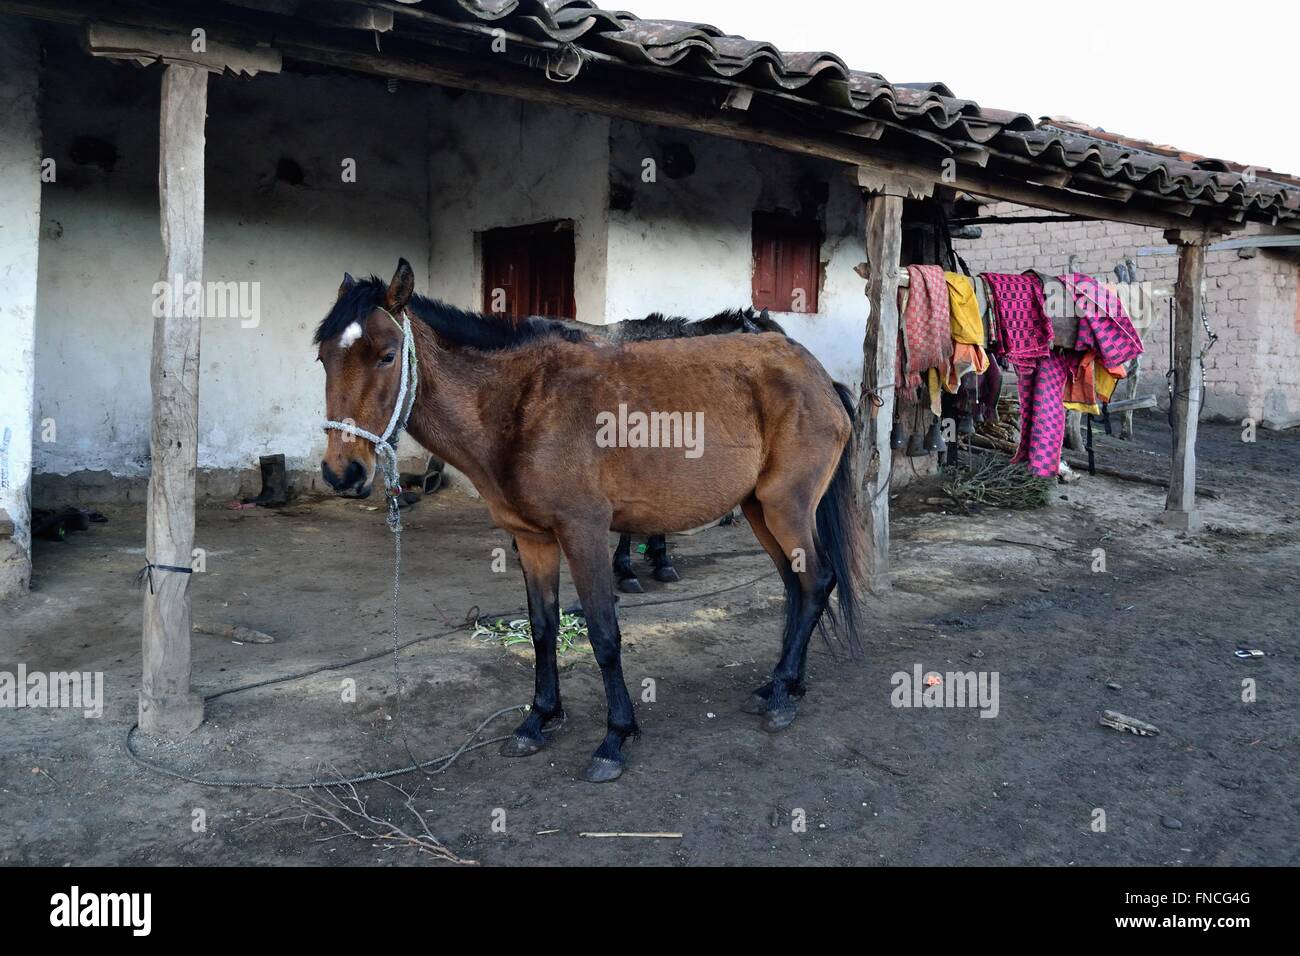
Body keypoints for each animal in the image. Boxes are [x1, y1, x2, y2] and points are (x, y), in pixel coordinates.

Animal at [316, 259, 866, 782]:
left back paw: (782, 697)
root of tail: (819, 378)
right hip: (758, 509)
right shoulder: (532, 539)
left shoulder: (582, 533)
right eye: (323, 357)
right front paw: (538, 719)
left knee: (817, 581)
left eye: (388, 356)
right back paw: (778, 685)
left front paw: (615, 737)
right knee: (797, 587)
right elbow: (542, 627)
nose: (343, 473)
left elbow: (603, 632)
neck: (523, 407)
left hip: (785, 506)